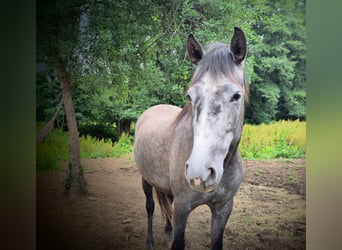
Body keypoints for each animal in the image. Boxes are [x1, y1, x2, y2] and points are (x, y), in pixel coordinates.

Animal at [134, 27, 248, 250]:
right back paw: (150, 241)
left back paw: (167, 231)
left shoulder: (223, 209)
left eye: (236, 96)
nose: (199, 172)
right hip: (146, 179)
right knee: (150, 207)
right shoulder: (182, 208)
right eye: (190, 96)